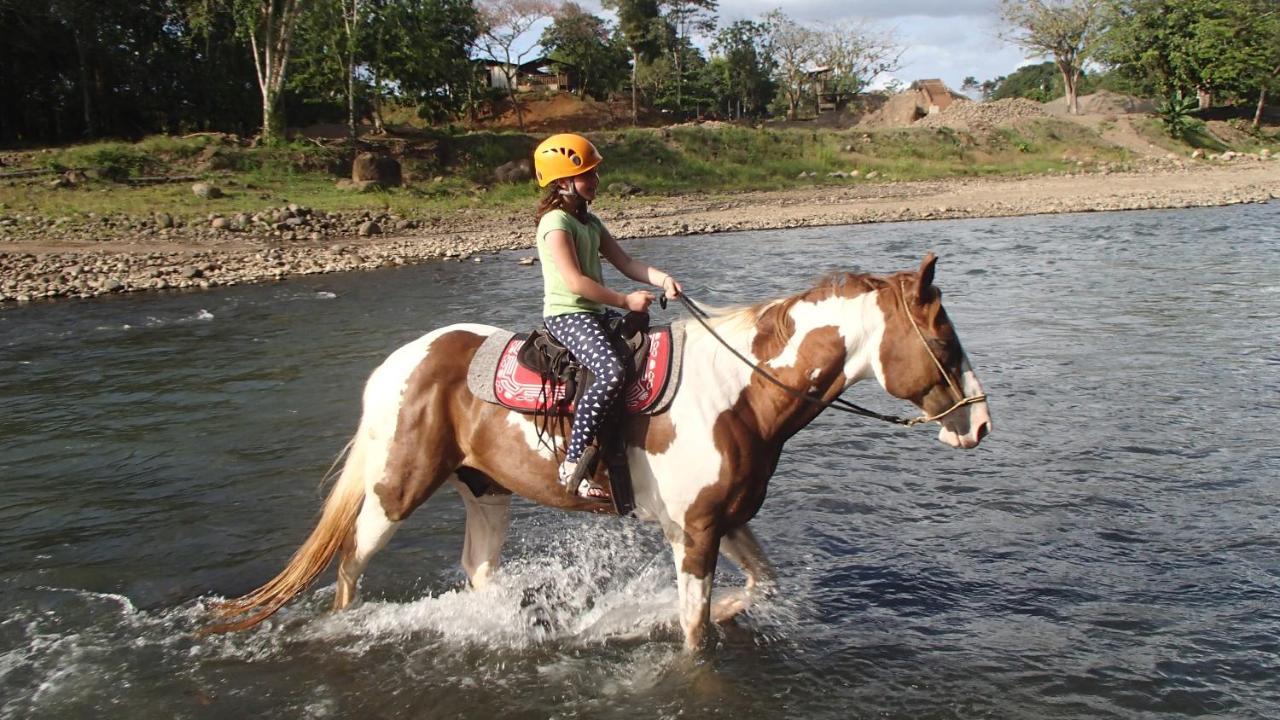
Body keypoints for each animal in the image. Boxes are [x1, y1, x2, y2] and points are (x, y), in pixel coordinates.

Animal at [212, 251, 988, 645]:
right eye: (944, 338)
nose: (979, 426)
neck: (739, 391)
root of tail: (396, 364)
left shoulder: (723, 520)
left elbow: (757, 588)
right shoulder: (696, 531)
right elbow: (696, 630)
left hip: (485, 492)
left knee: (478, 573)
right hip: (394, 492)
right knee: (348, 566)